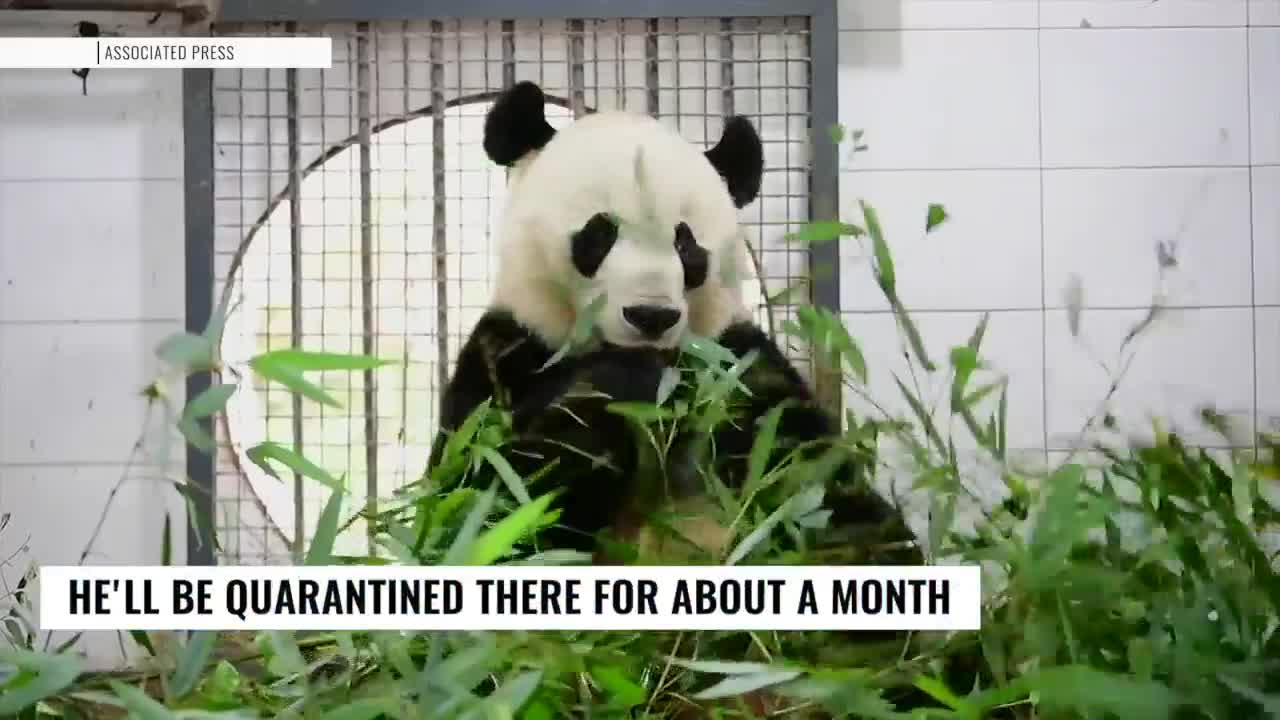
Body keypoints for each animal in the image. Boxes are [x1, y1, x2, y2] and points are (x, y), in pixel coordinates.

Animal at [430, 81, 921, 568]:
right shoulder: (507, 349)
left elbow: (821, 487)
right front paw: (612, 389)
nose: (651, 316)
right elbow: (481, 500)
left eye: (686, 245)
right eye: (599, 234)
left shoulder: (739, 370)